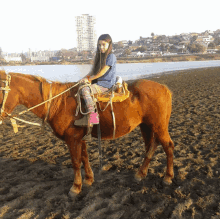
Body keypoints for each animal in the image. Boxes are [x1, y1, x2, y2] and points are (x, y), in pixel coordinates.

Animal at [0, 70, 174, 197]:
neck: (58, 103)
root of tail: (164, 88)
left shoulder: (72, 140)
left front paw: (76, 186)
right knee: (151, 146)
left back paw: (168, 176)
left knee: (168, 146)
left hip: (158, 126)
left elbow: (76, 162)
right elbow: (84, 157)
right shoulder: (80, 138)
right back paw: (141, 173)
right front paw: (89, 179)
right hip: (147, 126)